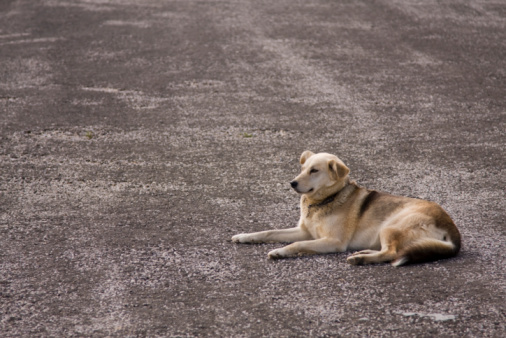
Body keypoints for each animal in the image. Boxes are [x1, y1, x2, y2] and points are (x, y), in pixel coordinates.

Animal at [231, 151, 460, 266]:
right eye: (302, 168)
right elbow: (268, 232)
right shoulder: (305, 231)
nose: (292, 183)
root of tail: (452, 228)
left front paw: (279, 252)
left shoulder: (333, 242)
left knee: (391, 253)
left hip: (391, 226)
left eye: (314, 171)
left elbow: (297, 244)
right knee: (389, 250)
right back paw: (364, 252)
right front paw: (244, 236)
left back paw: (361, 259)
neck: (324, 201)